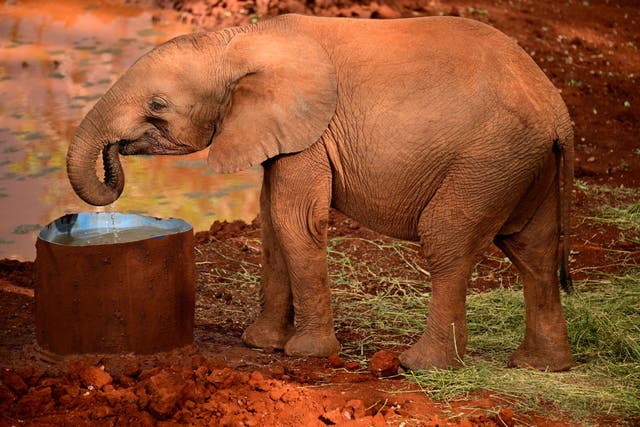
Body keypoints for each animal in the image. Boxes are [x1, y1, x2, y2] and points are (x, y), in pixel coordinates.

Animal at [67, 15, 572, 372]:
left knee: (447, 239)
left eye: (157, 105)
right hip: (520, 165)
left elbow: (294, 219)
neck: (238, 39)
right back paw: (540, 366)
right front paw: (261, 343)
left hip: (488, 159)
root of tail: (558, 113)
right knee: (534, 250)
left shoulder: (310, 130)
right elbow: (271, 222)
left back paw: (420, 365)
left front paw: (304, 353)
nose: (114, 153)